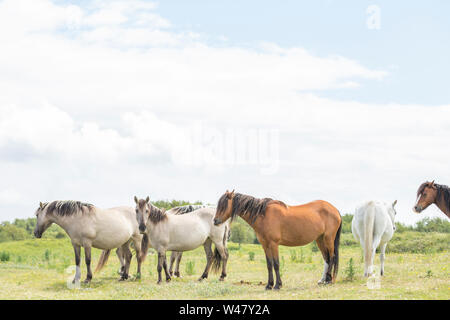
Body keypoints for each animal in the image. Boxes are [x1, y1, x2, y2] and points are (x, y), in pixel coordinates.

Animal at [214, 190, 342, 290]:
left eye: (224, 205)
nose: (215, 221)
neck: (263, 215)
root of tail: (335, 210)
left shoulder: (273, 244)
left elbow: (276, 264)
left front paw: (277, 285)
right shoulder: (265, 245)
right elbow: (269, 264)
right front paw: (269, 285)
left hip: (328, 239)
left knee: (332, 257)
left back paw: (329, 280)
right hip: (320, 240)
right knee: (326, 259)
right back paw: (322, 280)